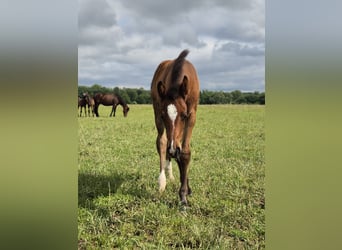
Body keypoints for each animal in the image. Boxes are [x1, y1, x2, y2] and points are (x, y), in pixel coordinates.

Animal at [150, 49, 200, 206]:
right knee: (162, 142)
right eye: (163, 115)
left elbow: (185, 152)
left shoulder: (192, 115)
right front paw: (183, 195)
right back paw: (163, 180)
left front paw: (184, 193)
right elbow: (167, 145)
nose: (172, 151)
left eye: (183, 115)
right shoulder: (159, 113)